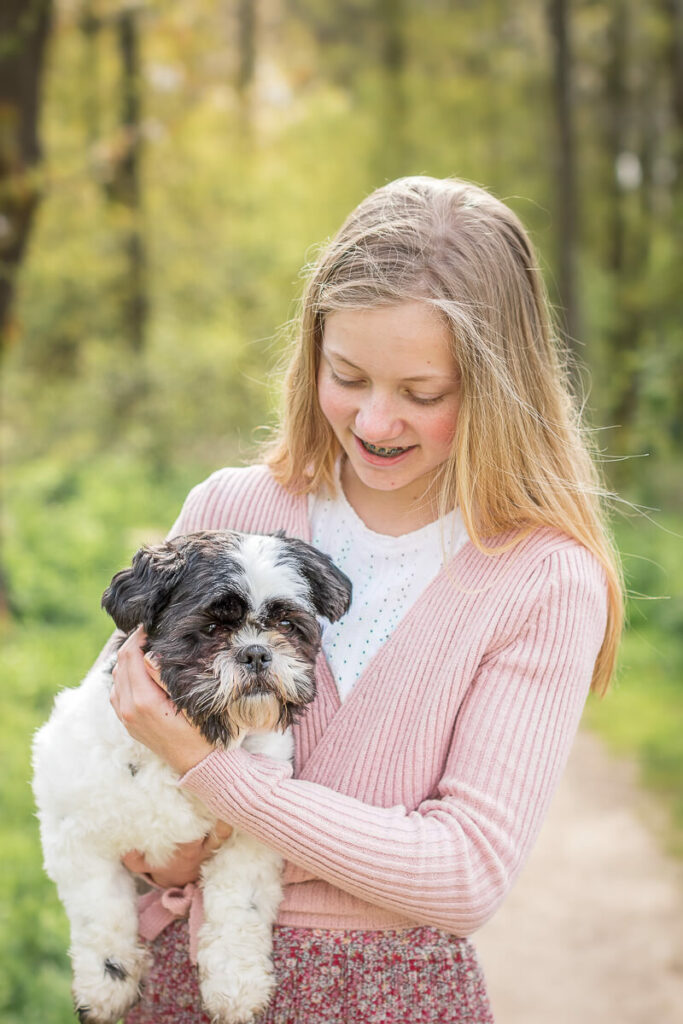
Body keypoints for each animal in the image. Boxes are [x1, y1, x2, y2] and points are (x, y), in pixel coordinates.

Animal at [31, 532, 352, 1024]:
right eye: (213, 627)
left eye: (285, 623)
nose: (256, 652)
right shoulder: (77, 833)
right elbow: (100, 911)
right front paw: (107, 980)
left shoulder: (249, 840)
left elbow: (238, 908)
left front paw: (237, 984)